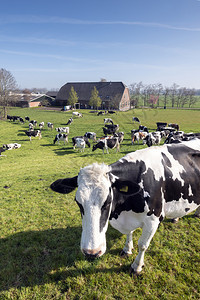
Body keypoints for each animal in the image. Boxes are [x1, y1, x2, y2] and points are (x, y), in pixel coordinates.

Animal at [50, 139, 200, 276]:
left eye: (108, 201)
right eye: (78, 202)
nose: (92, 252)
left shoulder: (154, 219)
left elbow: (143, 245)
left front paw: (137, 266)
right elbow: (129, 233)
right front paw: (127, 249)